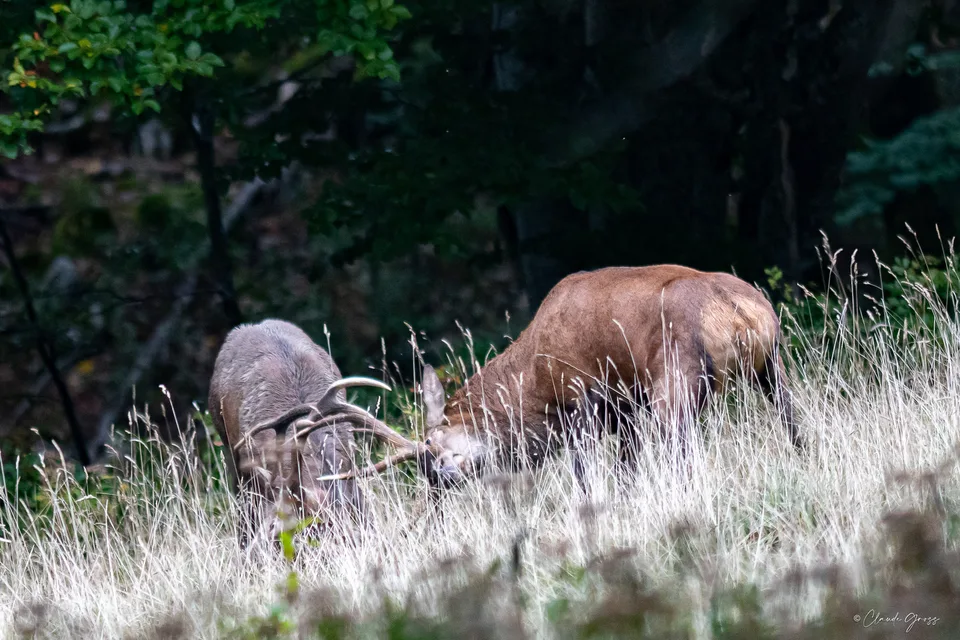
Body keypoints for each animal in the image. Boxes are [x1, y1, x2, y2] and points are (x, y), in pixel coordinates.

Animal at [320, 265, 802, 491]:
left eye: (433, 447)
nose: (443, 478)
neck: (532, 383)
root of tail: (740, 314)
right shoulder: (625, 411)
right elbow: (625, 472)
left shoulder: (581, 399)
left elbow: (587, 479)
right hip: (773, 365)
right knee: (795, 425)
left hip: (675, 380)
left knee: (683, 453)